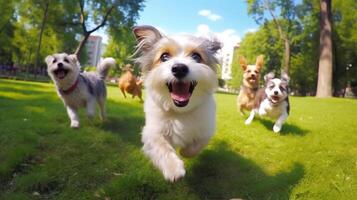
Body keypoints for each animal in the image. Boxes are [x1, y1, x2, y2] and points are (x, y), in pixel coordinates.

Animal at [132, 24, 221, 181]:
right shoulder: (152, 132)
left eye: (196, 57)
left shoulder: (206, 129)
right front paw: (173, 169)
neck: (181, 111)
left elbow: (196, 145)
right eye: (164, 57)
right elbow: (161, 146)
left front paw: (185, 152)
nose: (179, 68)